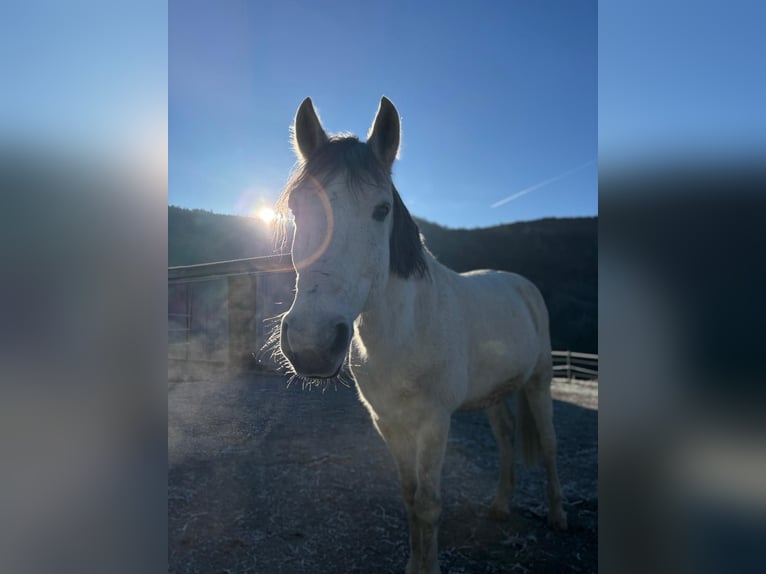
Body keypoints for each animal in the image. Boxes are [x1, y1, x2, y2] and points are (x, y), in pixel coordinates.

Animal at [275, 97, 567, 574]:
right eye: (297, 209)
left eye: (381, 210)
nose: (311, 344)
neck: (405, 331)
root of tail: (520, 284)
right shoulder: (387, 422)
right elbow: (410, 498)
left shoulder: (434, 422)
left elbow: (429, 505)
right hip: (495, 394)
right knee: (506, 438)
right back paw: (500, 507)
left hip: (539, 383)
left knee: (549, 445)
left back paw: (558, 516)